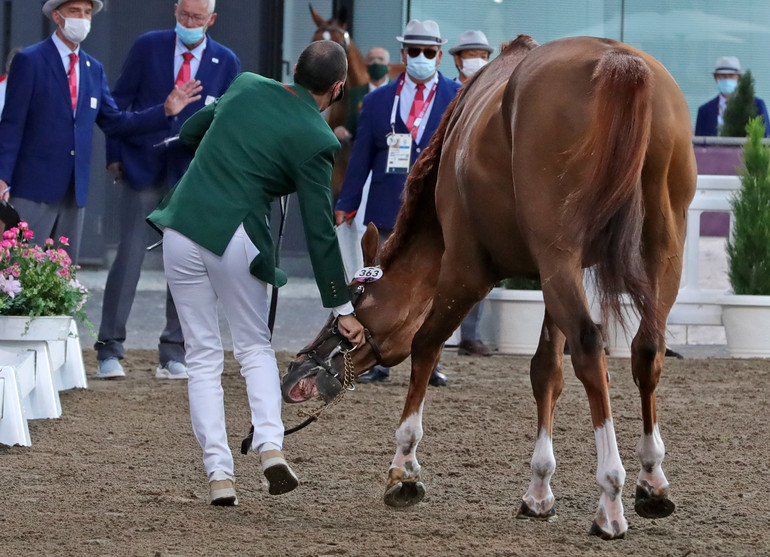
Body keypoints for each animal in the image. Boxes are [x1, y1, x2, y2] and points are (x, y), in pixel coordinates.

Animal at [282, 35, 696, 540]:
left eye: (355, 297)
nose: (295, 375)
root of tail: (621, 63)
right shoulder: (554, 275)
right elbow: (545, 372)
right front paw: (539, 490)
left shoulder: (466, 271)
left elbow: (425, 346)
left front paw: (404, 469)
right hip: (661, 249)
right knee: (646, 349)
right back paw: (651, 480)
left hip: (560, 260)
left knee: (590, 349)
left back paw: (611, 497)